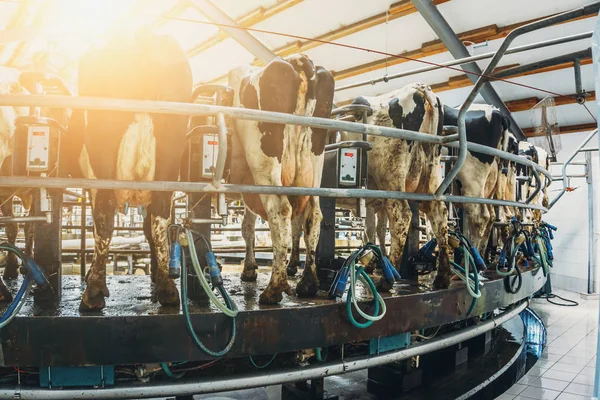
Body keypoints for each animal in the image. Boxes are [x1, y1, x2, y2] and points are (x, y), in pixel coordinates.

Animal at [63, 32, 190, 312]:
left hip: (102, 153)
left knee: (104, 217)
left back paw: (93, 291)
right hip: (169, 154)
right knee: (158, 219)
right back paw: (167, 289)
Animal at [227, 53, 336, 304]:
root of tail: (297, 60)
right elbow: (248, 226)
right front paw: (249, 269)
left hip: (264, 163)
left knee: (280, 210)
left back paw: (274, 289)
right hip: (313, 167)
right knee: (313, 216)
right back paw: (308, 284)